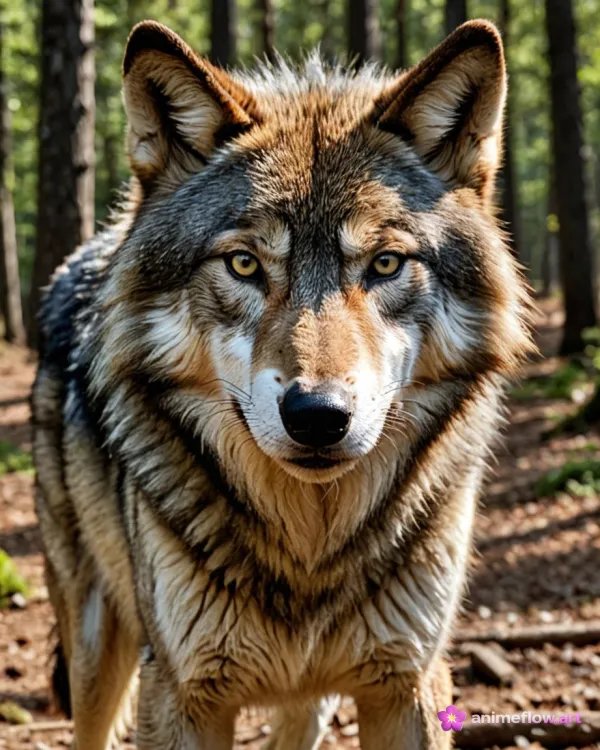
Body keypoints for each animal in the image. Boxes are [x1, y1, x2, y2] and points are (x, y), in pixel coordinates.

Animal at [32, 17, 531, 750]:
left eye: (385, 263)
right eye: (243, 264)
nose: (319, 414)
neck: (309, 556)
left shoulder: (410, 682)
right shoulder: (180, 692)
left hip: (310, 699)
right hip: (100, 649)